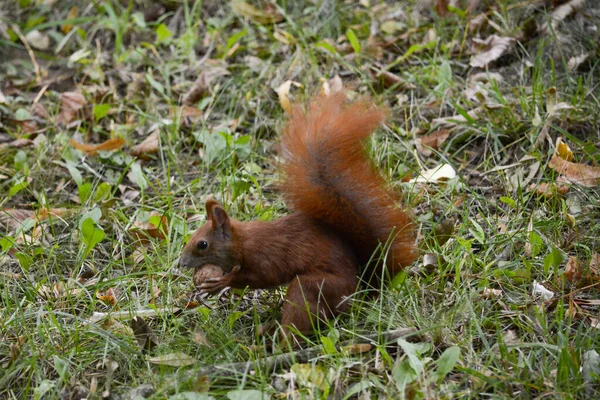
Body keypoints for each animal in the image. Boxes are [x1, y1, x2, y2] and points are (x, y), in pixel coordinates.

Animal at [179, 93, 418, 334]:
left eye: (202, 244)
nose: (181, 263)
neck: (241, 242)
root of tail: (361, 290)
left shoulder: (265, 256)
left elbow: (262, 277)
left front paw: (222, 282)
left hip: (316, 286)